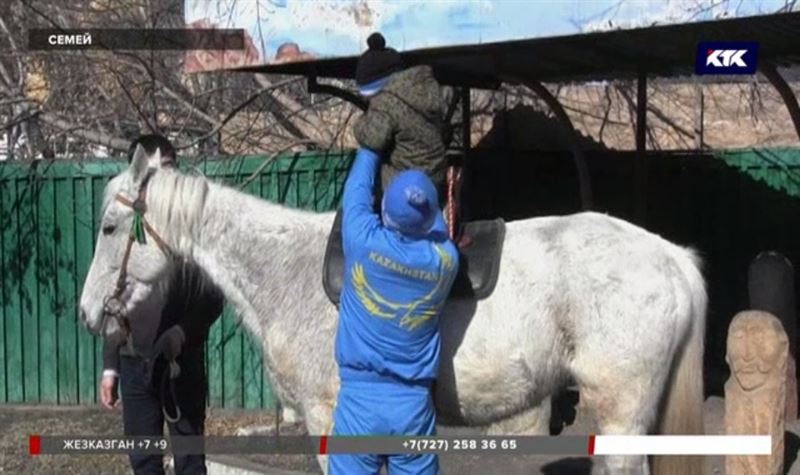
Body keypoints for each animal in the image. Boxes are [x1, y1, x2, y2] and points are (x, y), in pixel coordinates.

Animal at [79, 147, 708, 474]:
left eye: (108, 227)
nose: (89, 313)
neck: (285, 267)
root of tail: (671, 257)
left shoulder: (328, 417)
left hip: (621, 413)